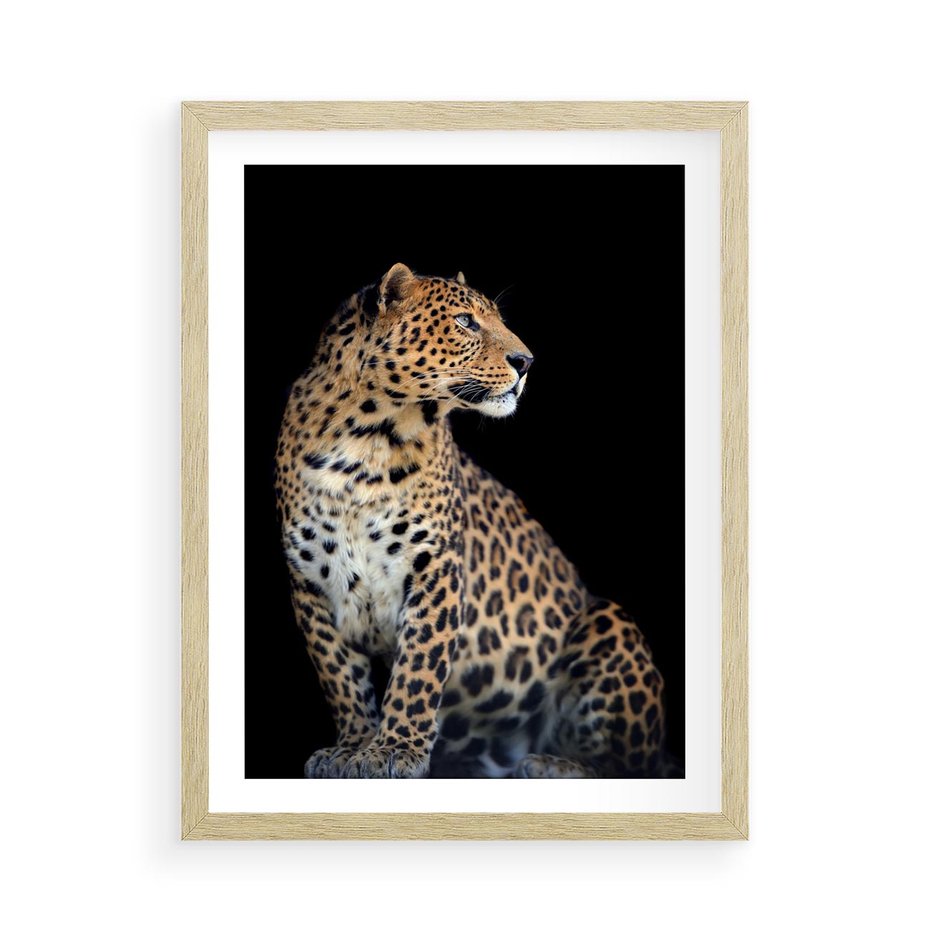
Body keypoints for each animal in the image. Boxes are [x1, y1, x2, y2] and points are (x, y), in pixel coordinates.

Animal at [274, 263, 668, 778]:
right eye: (465, 322)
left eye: (497, 320)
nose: (527, 361)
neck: (365, 440)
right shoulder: (310, 583)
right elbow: (340, 674)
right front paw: (352, 746)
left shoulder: (435, 566)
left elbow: (418, 668)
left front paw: (393, 751)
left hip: (607, 620)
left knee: (634, 764)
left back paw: (552, 765)